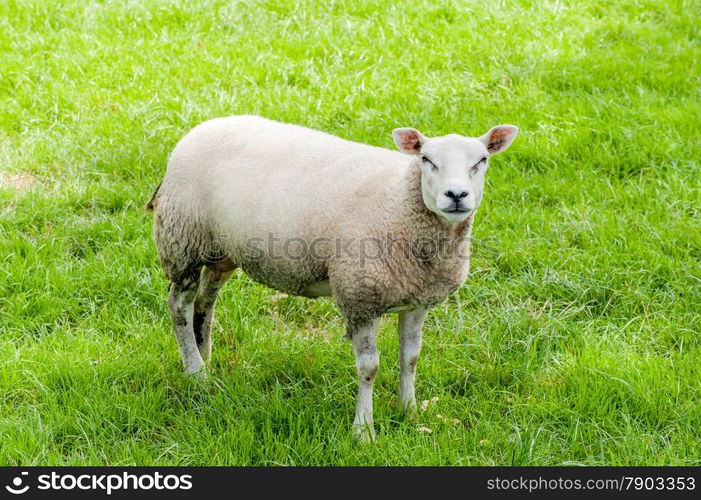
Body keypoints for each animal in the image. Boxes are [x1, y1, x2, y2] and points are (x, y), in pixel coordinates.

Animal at [146, 114, 516, 442]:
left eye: (482, 160)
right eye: (426, 159)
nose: (456, 196)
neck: (400, 202)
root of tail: (200, 128)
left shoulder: (417, 299)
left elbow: (410, 358)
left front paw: (409, 413)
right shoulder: (359, 296)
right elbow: (369, 369)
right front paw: (364, 432)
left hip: (220, 250)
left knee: (205, 301)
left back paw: (203, 357)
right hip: (183, 240)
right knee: (179, 305)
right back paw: (196, 374)